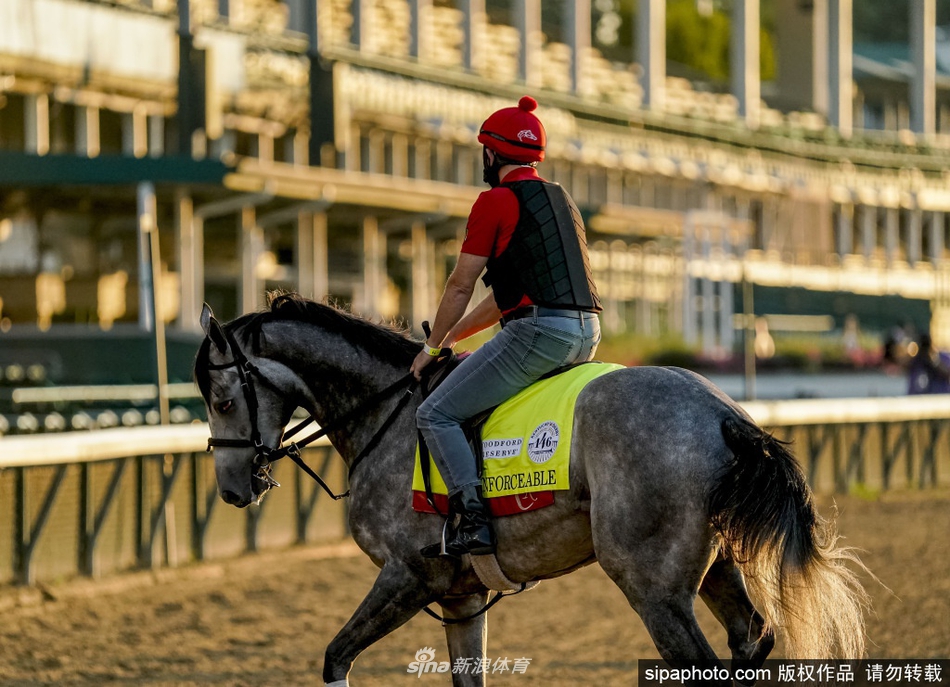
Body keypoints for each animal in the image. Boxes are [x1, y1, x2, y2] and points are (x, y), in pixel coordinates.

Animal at [197, 292, 872, 684]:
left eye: (222, 398)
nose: (233, 488)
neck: (387, 413)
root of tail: (720, 413)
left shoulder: (408, 576)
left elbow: (337, 656)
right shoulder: (461, 596)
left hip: (653, 589)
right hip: (714, 569)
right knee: (751, 639)